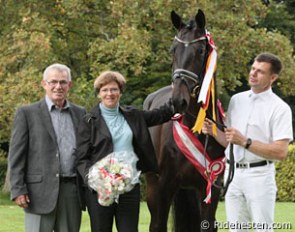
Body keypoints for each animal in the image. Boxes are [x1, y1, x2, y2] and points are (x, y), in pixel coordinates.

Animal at [144, 9, 227, 232]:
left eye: (200, 50)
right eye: (173, 49)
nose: (177, 101)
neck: (194, 127)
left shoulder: (210, 190)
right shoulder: (164, 187)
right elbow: (159, 225)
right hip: (153, 187)